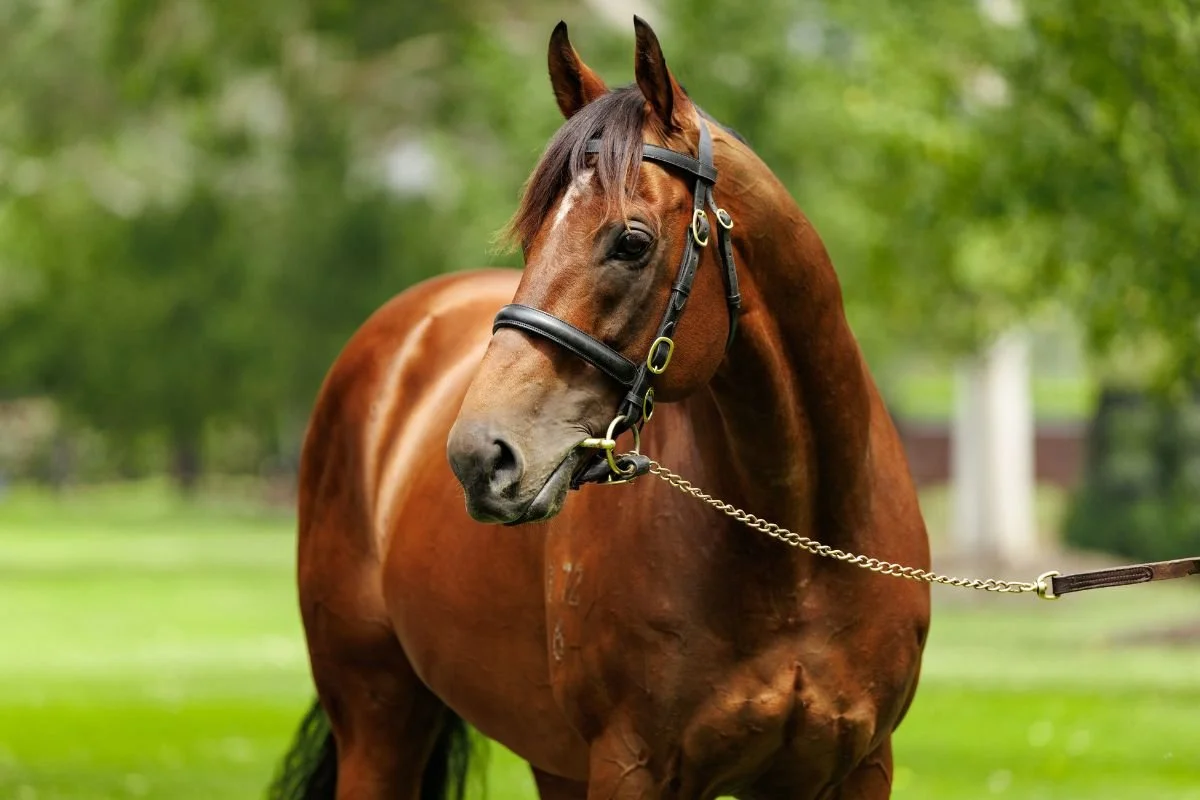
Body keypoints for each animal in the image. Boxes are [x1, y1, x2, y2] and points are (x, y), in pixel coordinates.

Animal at [270, 16, 931, 800]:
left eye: (632, 242)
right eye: (531, 238)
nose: (480, 457)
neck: (798, 552)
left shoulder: (858, 766)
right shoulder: (632, 765)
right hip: (378, 719)